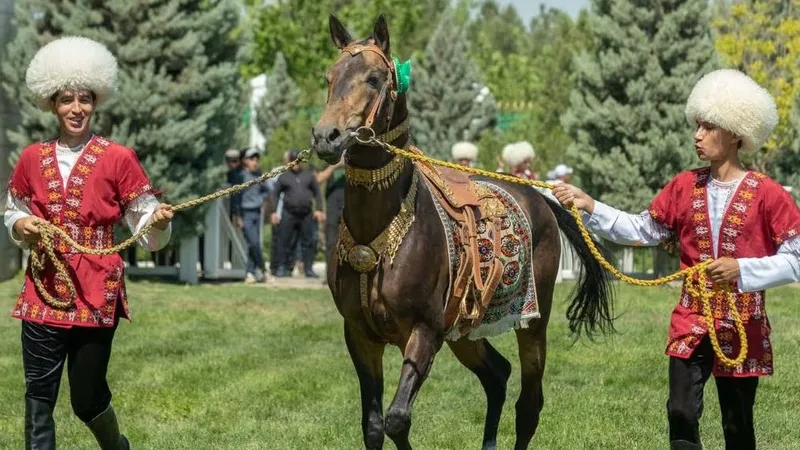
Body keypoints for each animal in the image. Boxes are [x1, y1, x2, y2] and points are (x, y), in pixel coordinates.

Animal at [311, 14, 615, 450]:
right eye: (329, 77)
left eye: (373, 78)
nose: (326, 137)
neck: (378, 233)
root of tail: (538, 197)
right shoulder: (359, 335)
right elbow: (374, 425)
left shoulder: (425, 331)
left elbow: (397, 419)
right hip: (463, 333)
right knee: (497, 375)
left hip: (532, 324)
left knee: (529, 402)